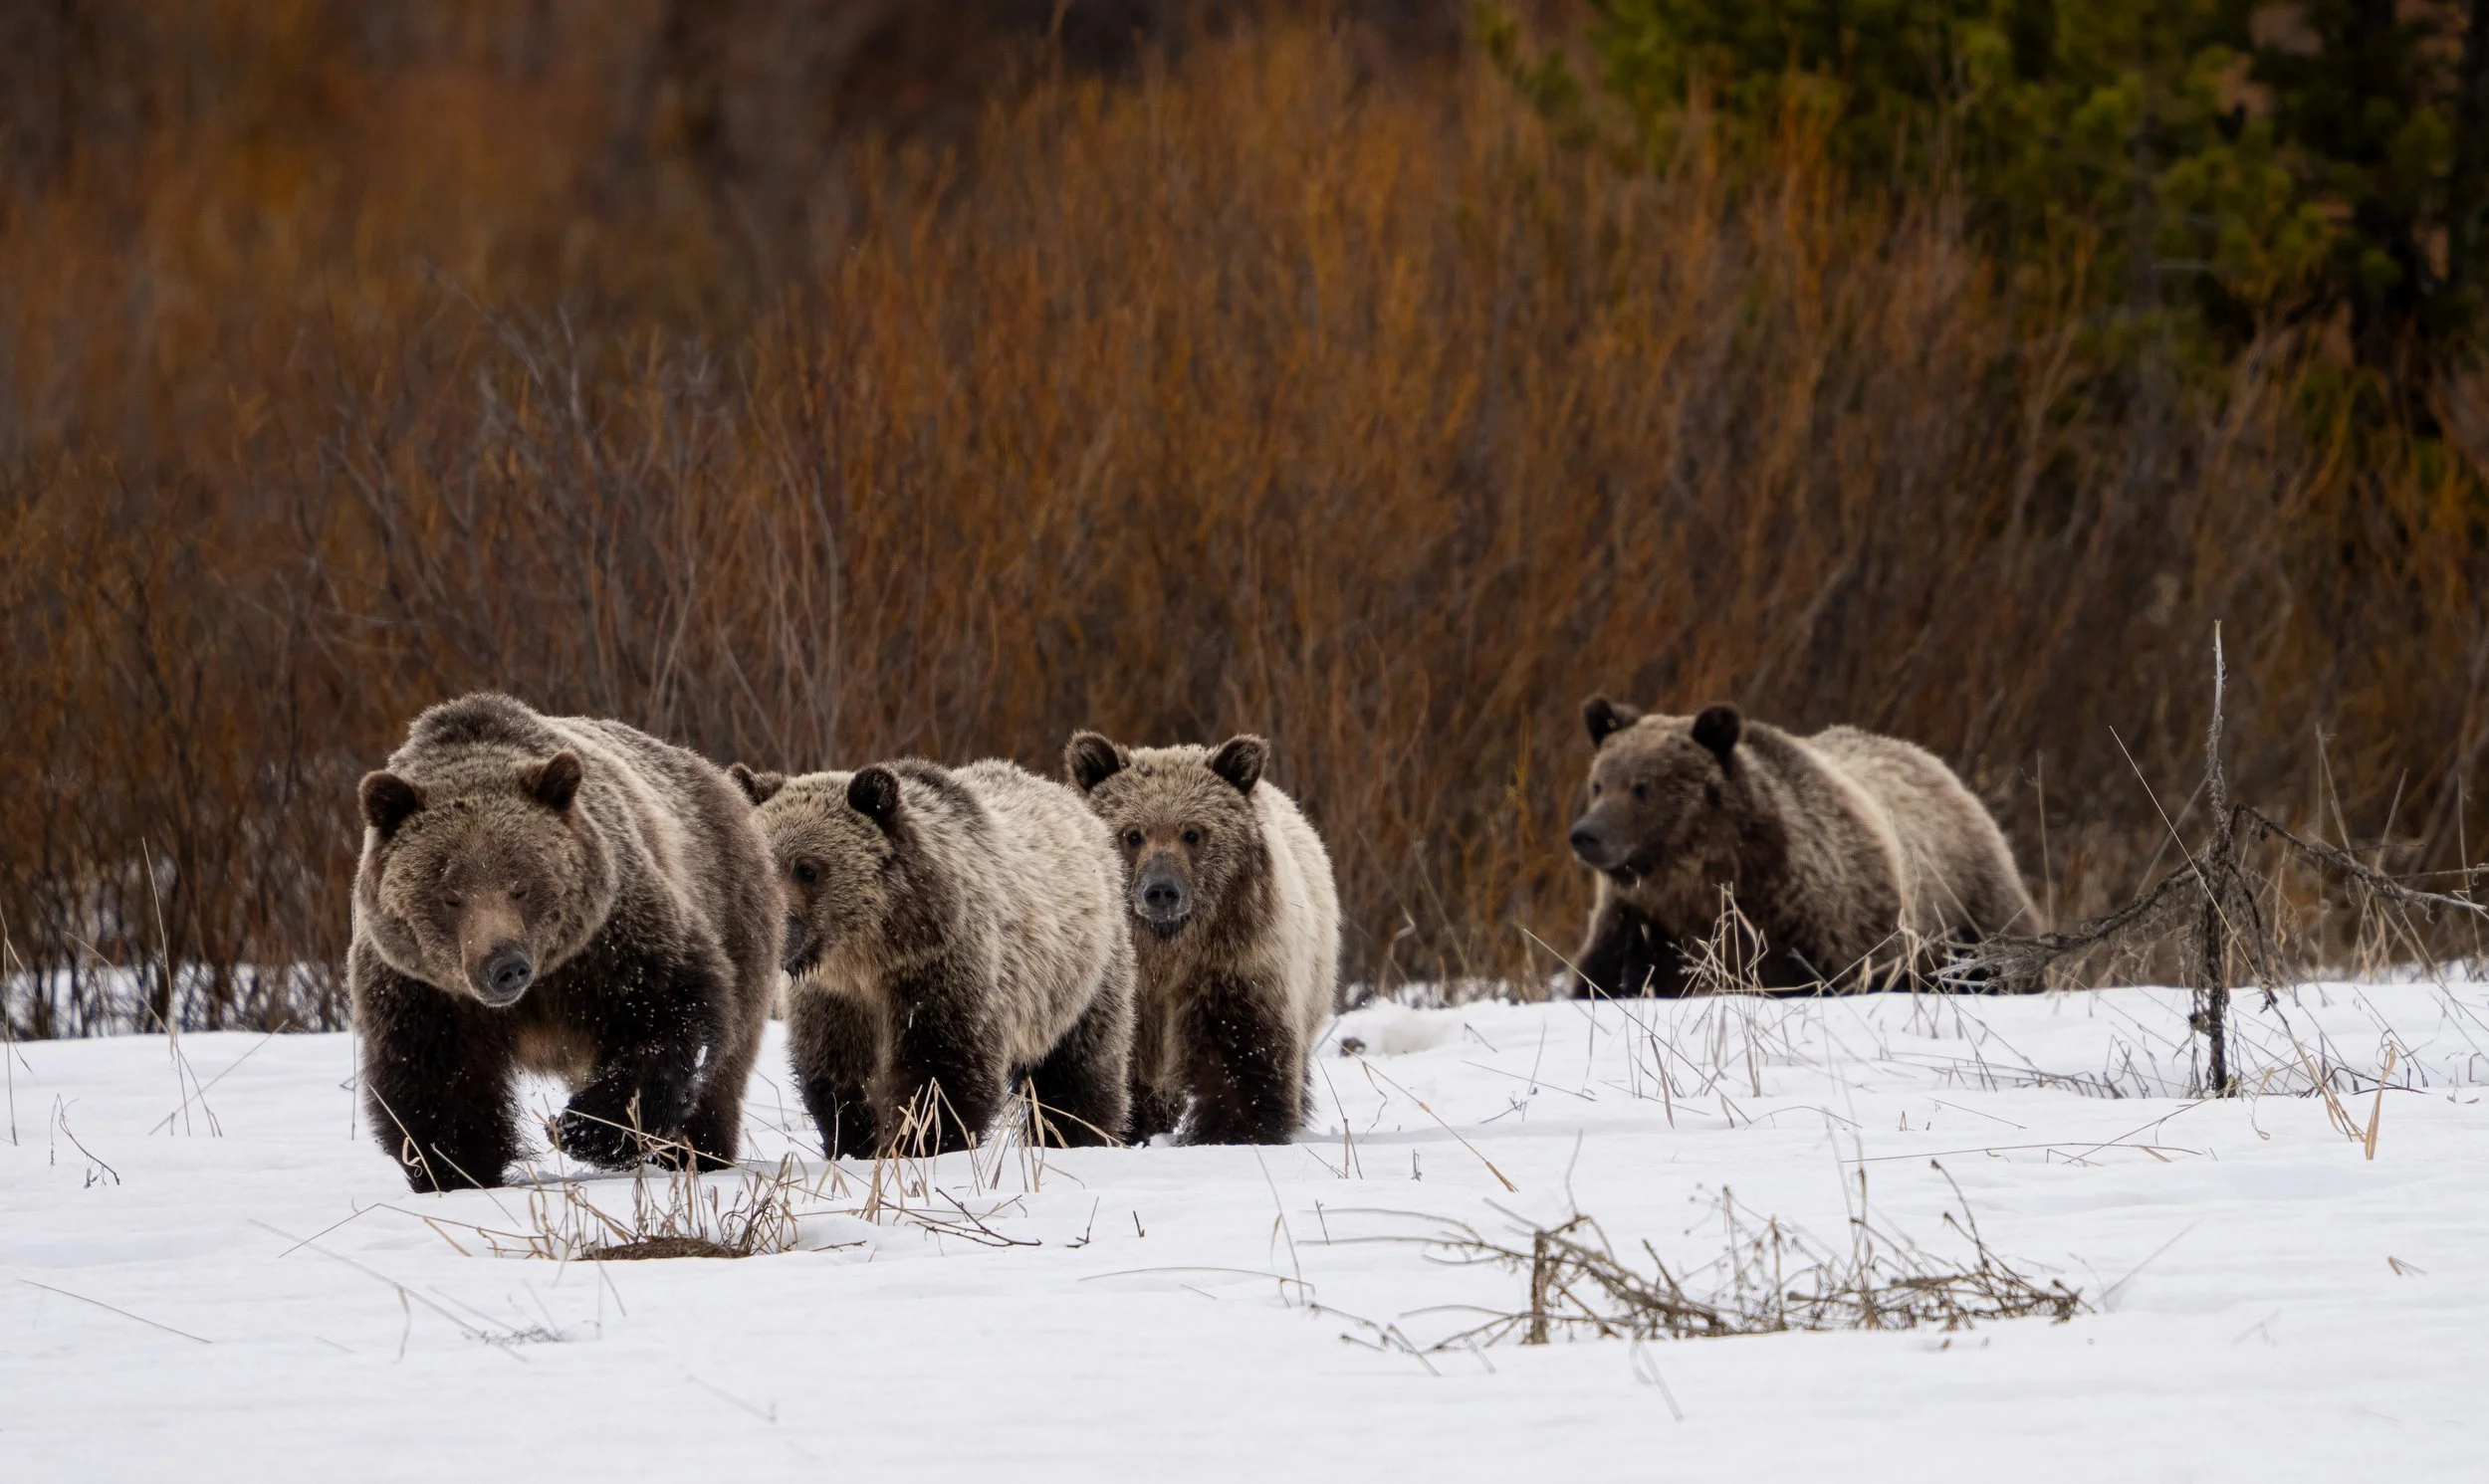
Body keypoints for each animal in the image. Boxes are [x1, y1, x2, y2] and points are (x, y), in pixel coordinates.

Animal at [349, 693, 779, 1192]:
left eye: (521, 885)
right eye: (449, 895)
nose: (506, 965)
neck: (537, 990)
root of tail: (714, 775)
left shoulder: (610, 942)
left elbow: (665, 1014)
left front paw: (580, 1128)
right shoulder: (422, 989)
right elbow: (437, 1079)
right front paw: (456, 1170)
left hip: (734, 909)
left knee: (722, 1071)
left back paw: (696, 1153)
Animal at [730, 757, 1135, 1157]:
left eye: (806, 868)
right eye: (760, 860)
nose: (771, 932)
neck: (872, 953)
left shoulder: (942, 970)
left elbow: (940, 1073)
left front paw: (918, 1143)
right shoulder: (833, 998)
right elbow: (837, 1073)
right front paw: (852, 1143)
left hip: (1082, 975)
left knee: (1079, 1069)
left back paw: (1078, 1136)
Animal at [1062, 733, 1341, 1145]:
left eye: (1192, 832)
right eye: (1132, 833)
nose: (1161, 891)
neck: (1166, 953)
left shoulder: (1234, 969)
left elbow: (1243, 1063)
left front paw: (1236, 1132)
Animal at [1564, 698, 2038, 997]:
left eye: (1642, 788)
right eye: (1599, 783)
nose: (1586, 834)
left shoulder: (1813, 923)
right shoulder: (1643, 925)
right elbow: (1606, 980)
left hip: (1966, 909)